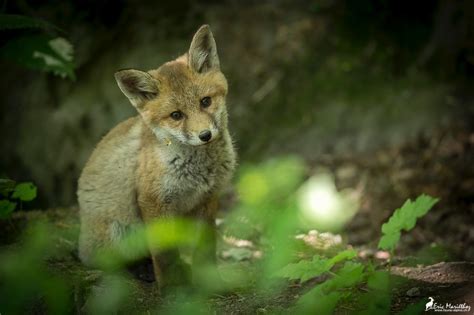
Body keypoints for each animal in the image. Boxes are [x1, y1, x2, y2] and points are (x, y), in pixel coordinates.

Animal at [77, 25, 237, 288]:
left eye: (205, 102)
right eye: (176, 115)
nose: (205, 135)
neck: (198, 171)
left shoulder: (208, 199)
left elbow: (205, 248)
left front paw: (209, 282)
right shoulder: (153, 202)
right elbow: (164, 256)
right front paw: (172, 289)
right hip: (120, 231)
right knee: (114, 264)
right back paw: (143, 271)